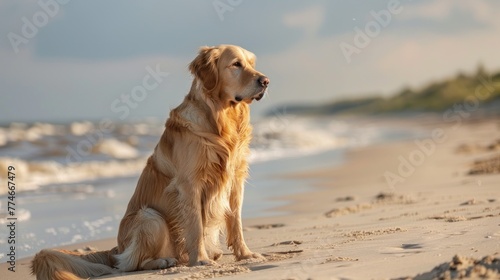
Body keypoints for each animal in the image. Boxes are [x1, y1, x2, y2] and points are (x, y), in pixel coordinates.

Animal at [31, 44, 270, 278]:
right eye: (236, 64)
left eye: (251, 64)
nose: (266, 81)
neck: (222, 120)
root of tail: (116, 248)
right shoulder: (189, 185)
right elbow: (195, 226)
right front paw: (201, 260)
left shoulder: (235, 181)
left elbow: (236, 223)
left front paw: (246, 255)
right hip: (150, 216)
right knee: (131, 264)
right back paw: (164, 261)